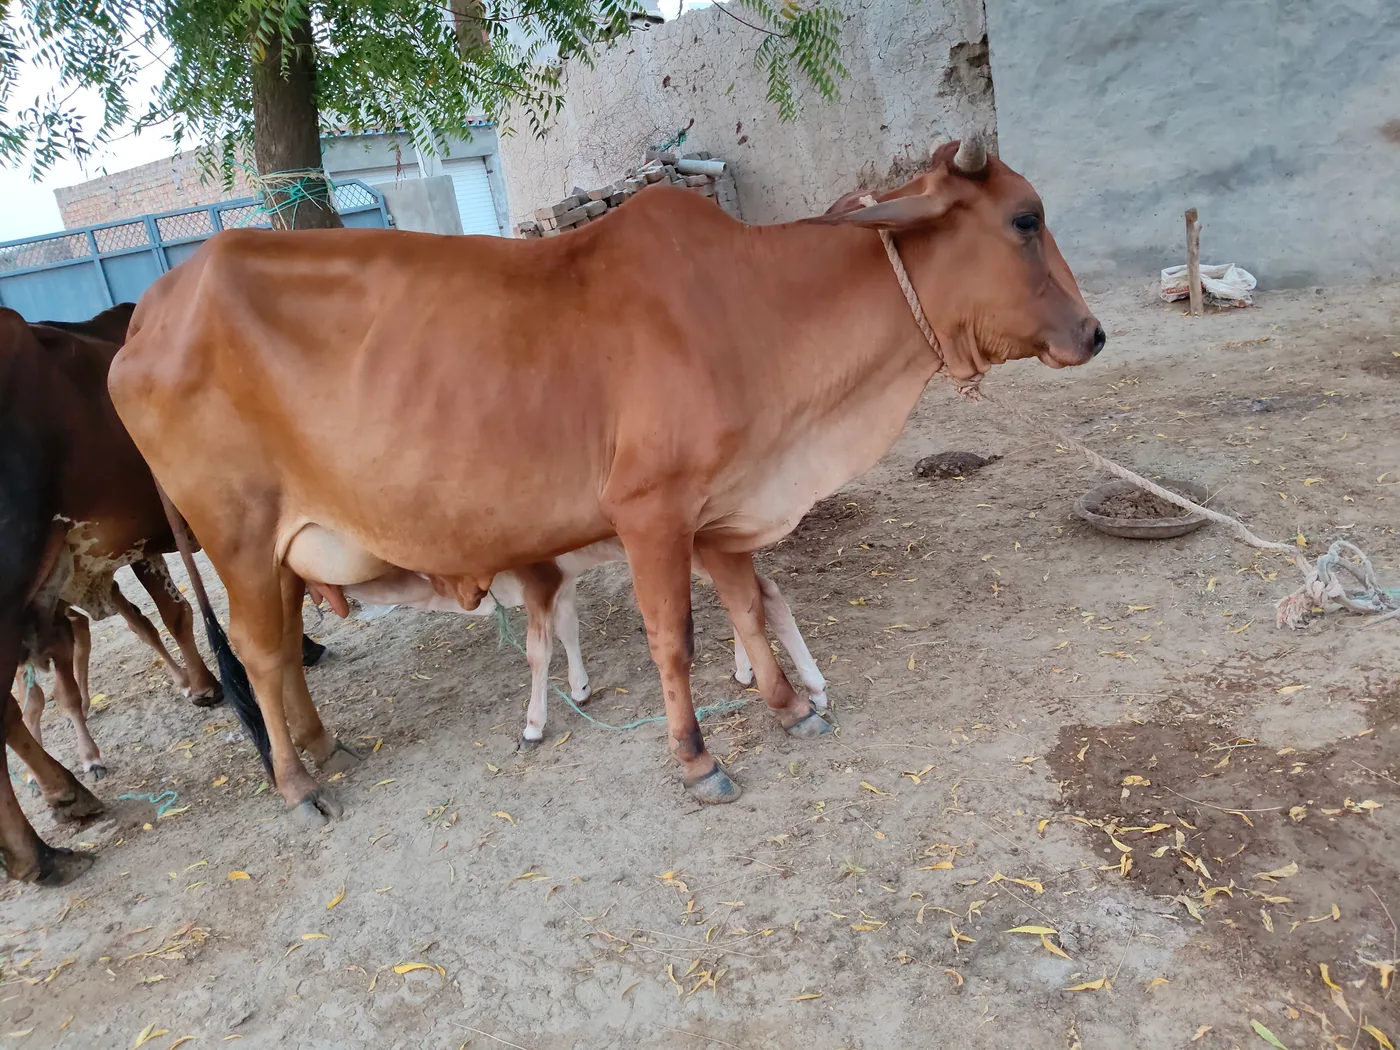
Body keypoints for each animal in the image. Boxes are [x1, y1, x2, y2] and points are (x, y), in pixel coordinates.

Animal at [311, 537, 827, 744]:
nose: (329, 598)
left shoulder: (538, 580)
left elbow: (538, 651)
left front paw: (533, 726)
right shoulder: (561, 581)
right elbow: (568, 629)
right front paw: (580, 688)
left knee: (766, 594)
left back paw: (815, 689)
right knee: (742, 601)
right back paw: (745, 671)